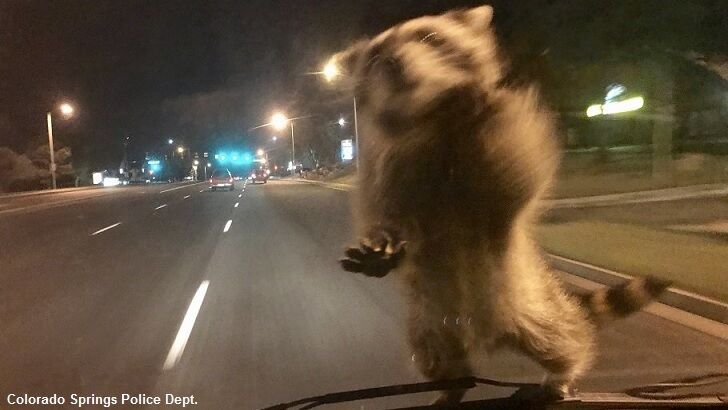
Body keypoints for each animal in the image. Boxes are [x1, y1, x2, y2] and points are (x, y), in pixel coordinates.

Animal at [332, 4, 668, 406]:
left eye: (429, 37)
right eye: (376, 56)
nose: (393, 62)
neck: (429, 115)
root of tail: (487, 335)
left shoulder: (502, 141)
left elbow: (516, 170)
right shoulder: (385, 165)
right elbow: (382, 211)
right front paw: (382, 243)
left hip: (530, 303)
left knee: (560, 336)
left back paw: (564, 370)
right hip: (428, 322)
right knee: (434, 356)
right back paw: (452, 388)